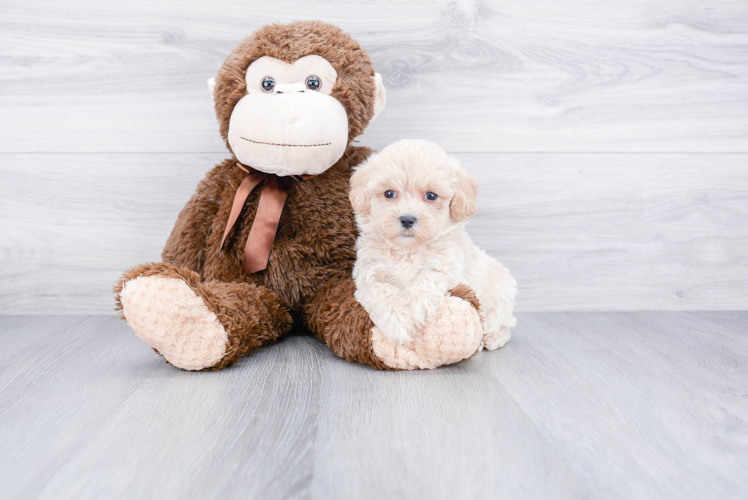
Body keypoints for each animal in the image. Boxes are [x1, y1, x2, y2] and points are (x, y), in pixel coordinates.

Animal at [350, 139, 516, 366]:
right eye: (389, 193)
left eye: (431, 196)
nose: (407, 219)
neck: (408, 251)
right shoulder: (370, 272)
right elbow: (380, 291)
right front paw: (397, 324)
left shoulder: (446, 266)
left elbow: (427, 280)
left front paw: (414, 311)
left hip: (500, 295)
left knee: (502, 324)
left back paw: (491, 338)